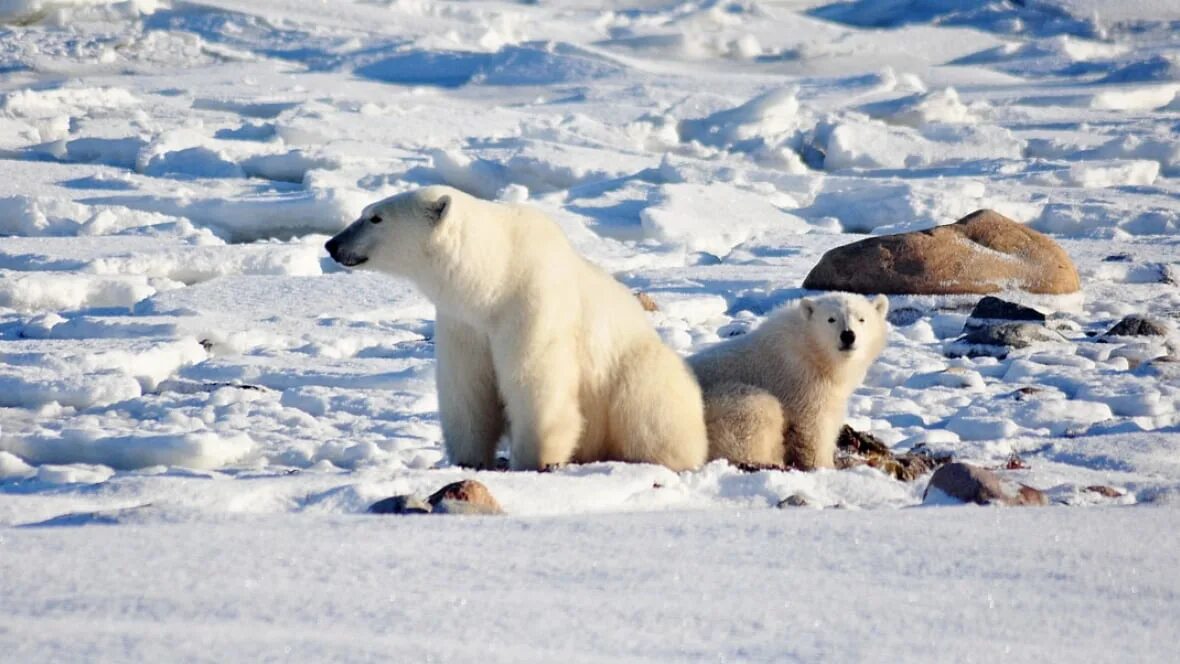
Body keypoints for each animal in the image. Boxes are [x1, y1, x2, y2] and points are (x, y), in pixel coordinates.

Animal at [325, 183, 707, 469]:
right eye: (365, 212)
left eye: (375, 217)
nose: (332, 244)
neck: (497, 276)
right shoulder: (463, 323)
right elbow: (467, 389)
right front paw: (469, 460)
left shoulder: (532, 305)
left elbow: (535, 381)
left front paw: (534, 461)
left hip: (635, 372)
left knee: (649, 409)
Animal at [689, 293, 887, 469]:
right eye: (831, 319)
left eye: (861, 319)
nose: (848, 335)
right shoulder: (802, 381)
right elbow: (814, 426)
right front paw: (824, 465)